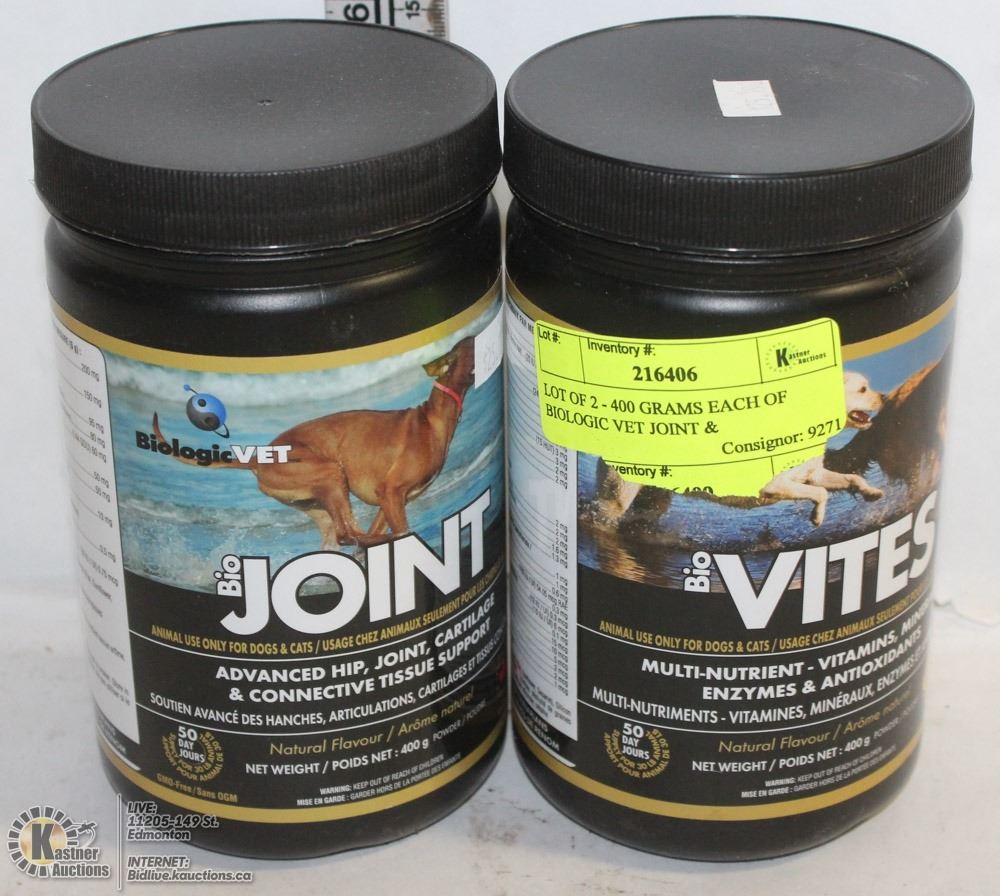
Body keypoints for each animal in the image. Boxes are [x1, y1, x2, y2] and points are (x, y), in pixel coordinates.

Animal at [154, 337, 475, 549]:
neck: (433, 416)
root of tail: (257, 459)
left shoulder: (389, 502)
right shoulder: (391, 493)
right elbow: (399, 531)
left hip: (319, 504)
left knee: (344, 535)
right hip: (330, 472)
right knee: (349, 533)